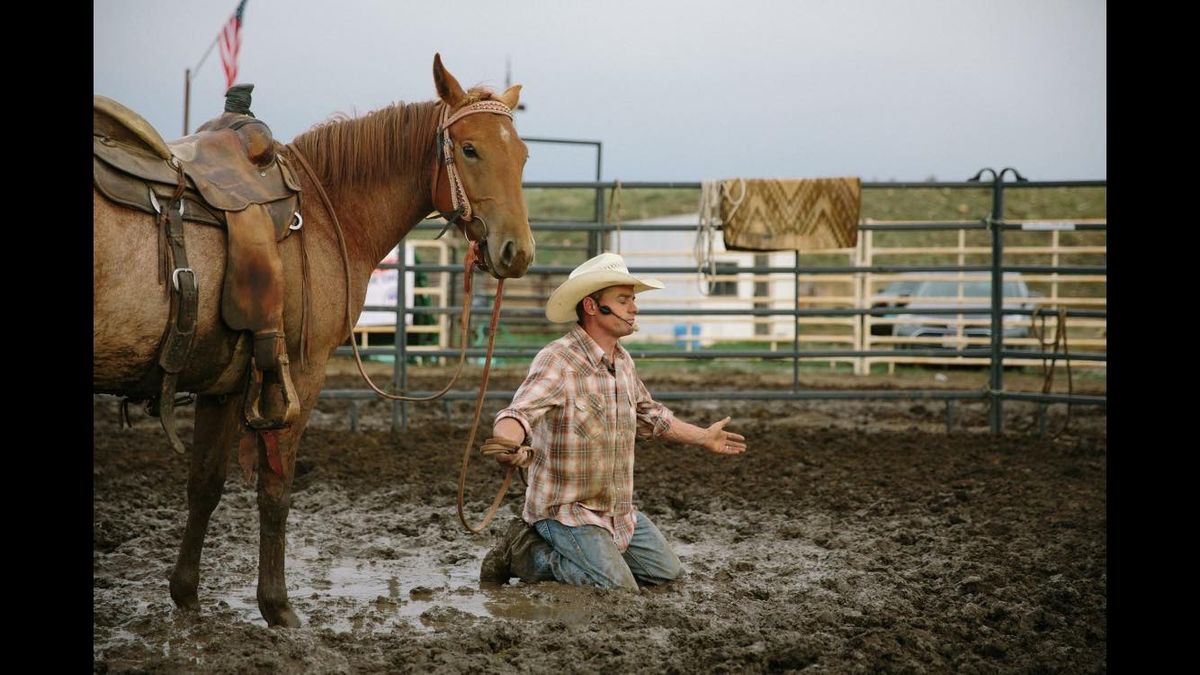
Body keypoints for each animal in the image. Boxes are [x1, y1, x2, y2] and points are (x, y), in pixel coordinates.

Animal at [96, 53, 537, 624]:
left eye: (522, 154)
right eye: (469, 148)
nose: (518, 252)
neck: (327, 218)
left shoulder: (222, 382)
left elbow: (205, 484)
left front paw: (187, 595)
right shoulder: (299, 376)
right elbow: (275, 491)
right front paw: (278, 607)